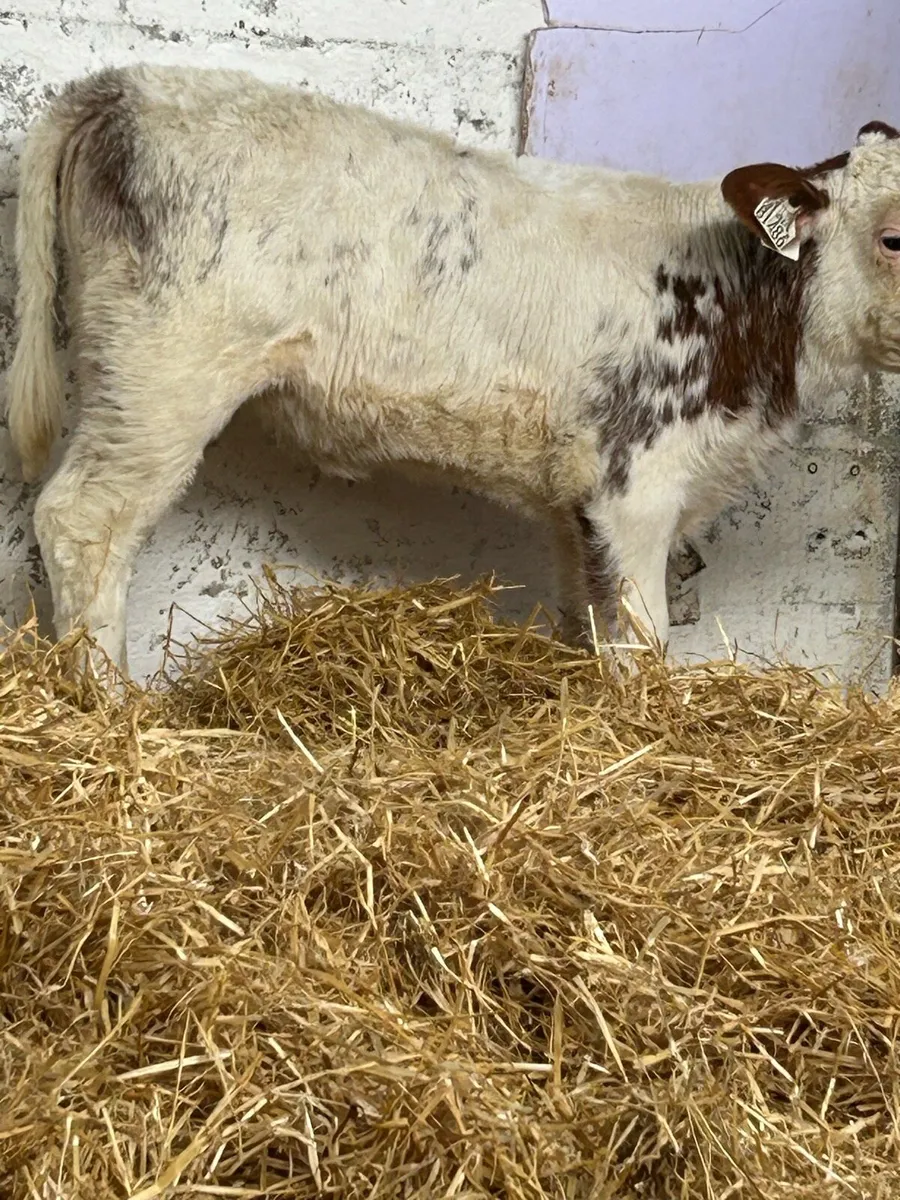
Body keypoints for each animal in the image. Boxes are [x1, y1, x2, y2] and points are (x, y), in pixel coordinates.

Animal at [5, 63, 900, 677]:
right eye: (893, 236)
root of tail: (121, 85)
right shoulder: (637, 485)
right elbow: (641, 644)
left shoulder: (578, 500)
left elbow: (587, 624)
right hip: (159, 380)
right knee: (81, 522)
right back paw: (113, 709)